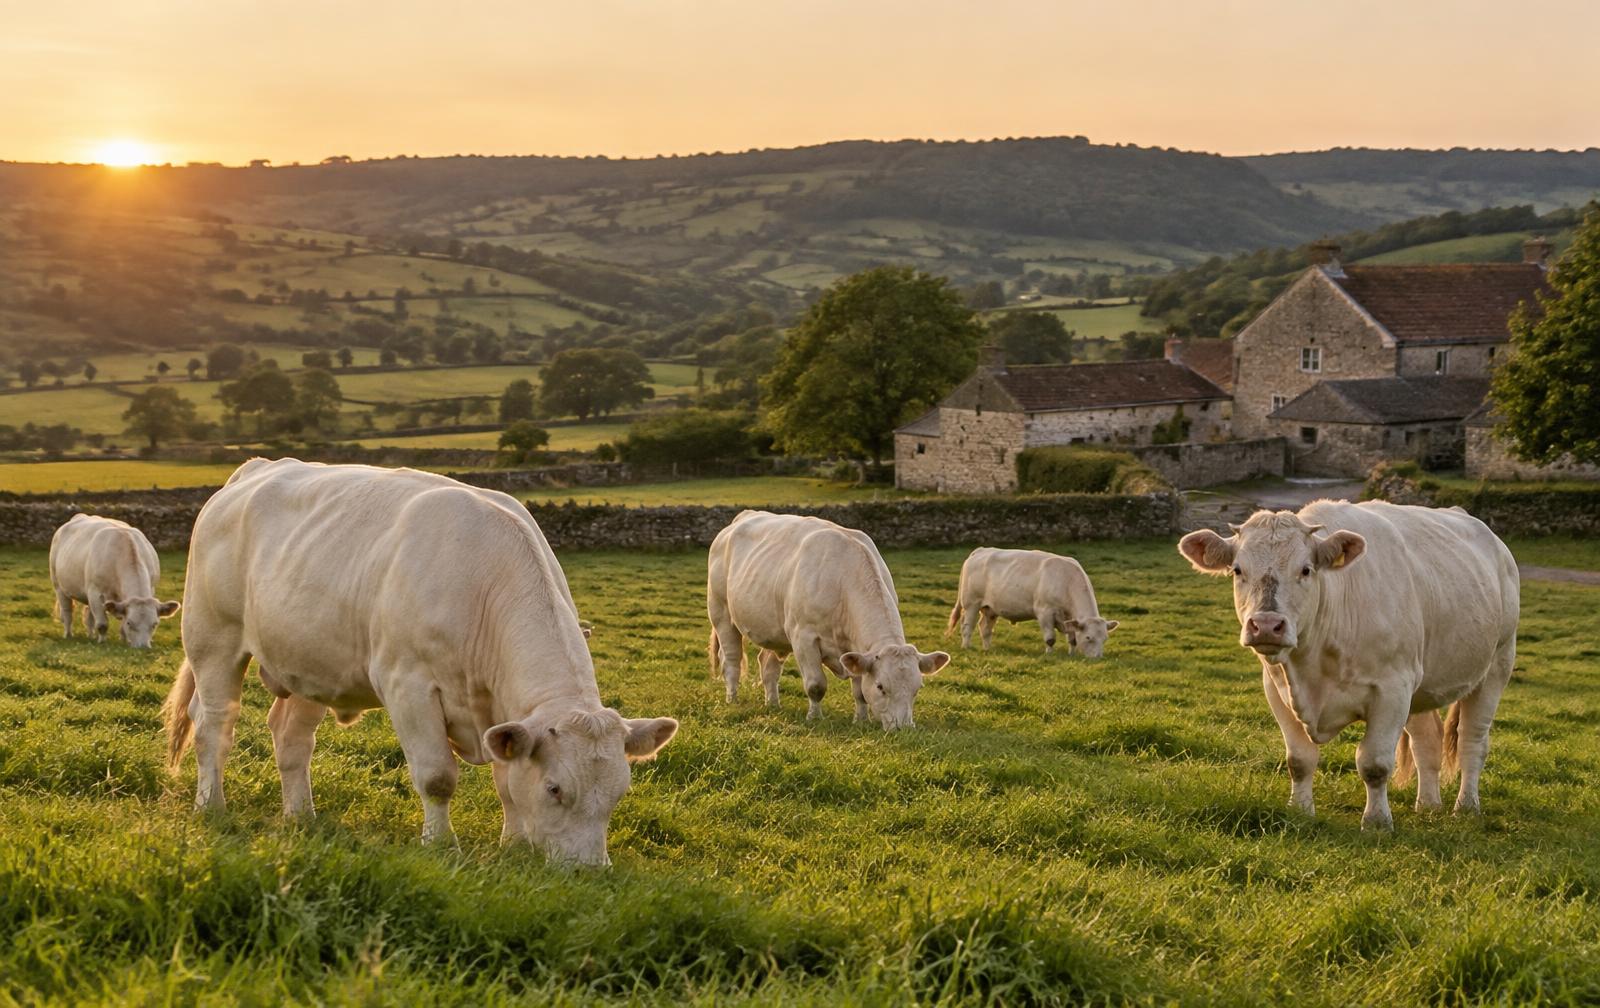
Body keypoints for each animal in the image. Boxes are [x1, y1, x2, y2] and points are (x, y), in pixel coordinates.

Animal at [49, 513, 180, 647]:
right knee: (67, 612)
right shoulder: (96, 593)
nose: (143, 647)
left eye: (154, 624)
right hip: (59, 586)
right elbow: (102, 624)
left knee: (88, 616)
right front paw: (102, 641)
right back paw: (68, 634)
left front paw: (124, 640)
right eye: (130, 623)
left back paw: (90, 636)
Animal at [162, 458, 678, 865]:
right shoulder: (407, 684)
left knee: (291, 738)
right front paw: (441, 844)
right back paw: (211, 805)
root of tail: (255, 469)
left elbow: (506, 780)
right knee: (214, 726)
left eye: (620, 791)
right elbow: (437, 777)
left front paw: (512, 844)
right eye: (555, 789)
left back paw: (302, 816)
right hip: (213, 639)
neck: (485, 583)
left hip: (309, 660)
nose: (588, 870)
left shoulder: (501, 711)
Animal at [707, 510, 949, 730]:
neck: (842, 582)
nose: (904, 727)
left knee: (768, 665)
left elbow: (859, 691)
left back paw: (773, 704)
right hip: (721, 613)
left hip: (773, 629)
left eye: (917, 688)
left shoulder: (855, 649)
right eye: (881, 687)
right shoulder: (803, 638)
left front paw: (861, 720)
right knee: (731, 661)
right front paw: (814, 717)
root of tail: (743, 516)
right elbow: (816, 685)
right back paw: (732, 700)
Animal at [946, 547, 1118, 656]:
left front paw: (1072, 654)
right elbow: (1050, 638)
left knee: (985, 628)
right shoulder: (1044, 612)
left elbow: (1073, 638)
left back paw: (987, 649)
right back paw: (966, 646)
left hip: (990, 609)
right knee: (967, 626)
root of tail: (981, 550)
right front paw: (1049, 655)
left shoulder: (1069, 617)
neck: (1067, 580)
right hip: (971, 603)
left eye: (1105, 638)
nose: (1097, 658)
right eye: (1089, 637)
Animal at [1177, 500, 1519, 830]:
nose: (1266, 626)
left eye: (1306, 569)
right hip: (1422, 684)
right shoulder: (1277, 689)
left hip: (1497, 664)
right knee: (1427, 742)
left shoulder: (1392, 689)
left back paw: (1466, 807)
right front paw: (1300, 811)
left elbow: (1374, 763)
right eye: (1237, 570)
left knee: (1472, 741)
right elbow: (1299, 760)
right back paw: (1428, 806)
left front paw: (1377, 821)